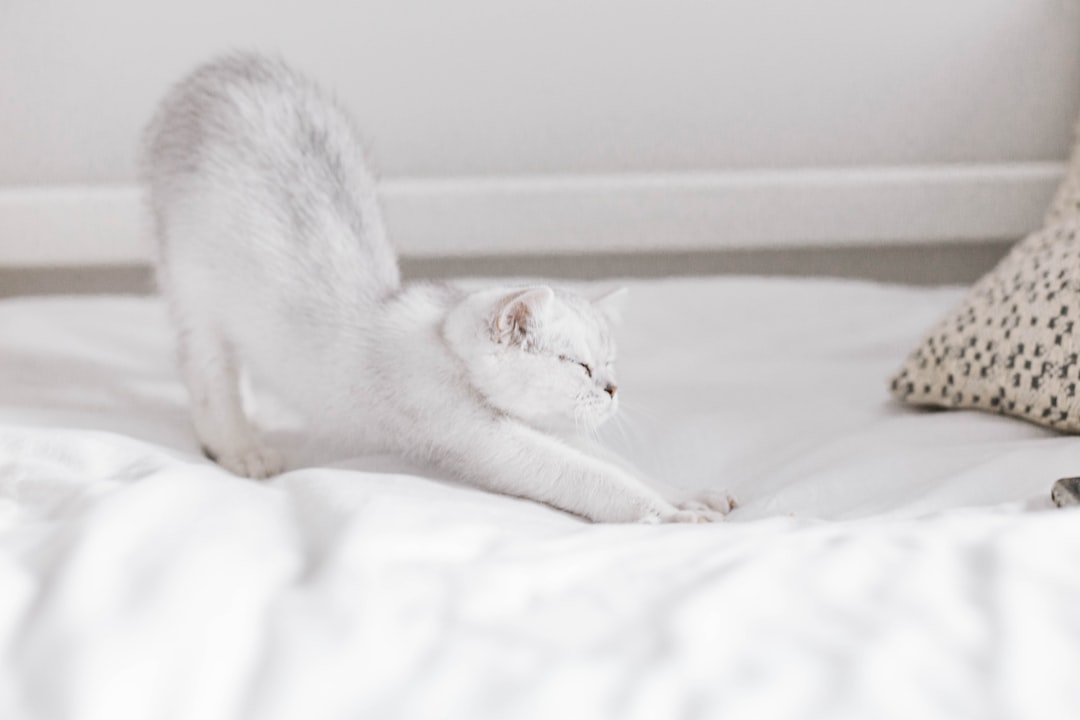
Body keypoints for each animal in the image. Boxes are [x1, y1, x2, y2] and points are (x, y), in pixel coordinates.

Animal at [141, 52, 734, 524]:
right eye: (580, 365)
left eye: (611, 364)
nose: (613, 389)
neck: (439, 336)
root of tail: (221, 68)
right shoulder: (473, 431)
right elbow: (590, 477)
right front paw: (667, 514)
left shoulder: (544, 427)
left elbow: (621, 465)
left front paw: (687, 494)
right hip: (194, 283)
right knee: (206, 370)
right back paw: (238, 446)